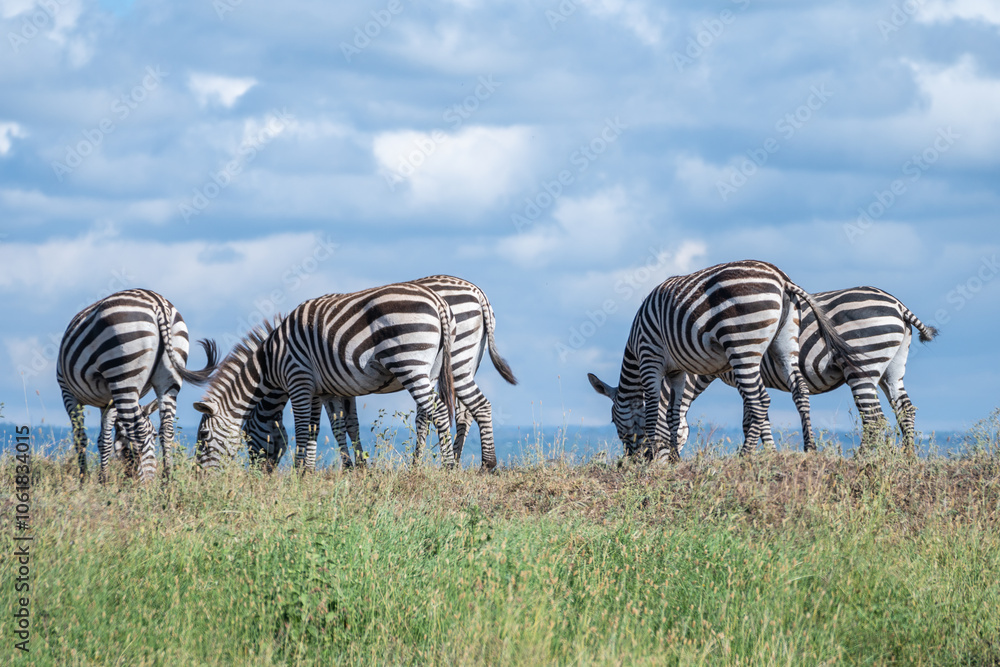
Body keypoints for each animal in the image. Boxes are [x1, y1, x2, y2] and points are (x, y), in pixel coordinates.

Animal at [57, 289, 218, 483]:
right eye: (153, 435)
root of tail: (158, 303)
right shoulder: (109, 401)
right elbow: (104, 440)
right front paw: (103, 480)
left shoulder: (68, 392)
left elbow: (81, 438)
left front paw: (84, 480)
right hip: (169, 377)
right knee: (167, 429)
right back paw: (166, 481)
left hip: (123, 371)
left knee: (138, 430)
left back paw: (146, 484)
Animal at [194, 282, 468, 472]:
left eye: (204, 437)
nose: (200, 478)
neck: (271, 362)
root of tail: (437, 301)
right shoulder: (326, 389)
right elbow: (334, 427)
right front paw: (342, 469)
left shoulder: (299, 380)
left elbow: (303, 428)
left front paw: (299, 472)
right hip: (432, 369)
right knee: (432, 412)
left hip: (408, 362)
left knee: (439, 412)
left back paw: (448, 467)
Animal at [245, 276, 518, 470]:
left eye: (247, 434)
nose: (260, 473)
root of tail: (477, 292)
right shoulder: (340, 382)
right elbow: (348, 423)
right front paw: (356, 466)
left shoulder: (319, 383)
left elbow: (326, 424)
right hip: (462, 365)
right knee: (464, 411)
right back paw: (462, 460)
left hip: (447, 360)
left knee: (450, 411)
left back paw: (459, 463)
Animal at [587, 260, 864, 462]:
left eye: (613, 421)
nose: (632, 461)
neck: (635, 348)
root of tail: (782, 279)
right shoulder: (677, 371)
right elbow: (673, 413)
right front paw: (675, 458)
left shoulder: (650, 358)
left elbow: (655, 408)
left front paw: (657, 455)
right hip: (784, 344)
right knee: (799, 389)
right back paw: (810, 448)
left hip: (743, 346)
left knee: (760, 400)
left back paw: (745, 455)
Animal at [667, 286, 937, 455]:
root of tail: (898, 305)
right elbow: (754, 416)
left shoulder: (742, 373)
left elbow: (752, 418)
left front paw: (763, 453)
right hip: (892, 370)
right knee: (905, 409)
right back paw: (908, 458)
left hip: (862, 366)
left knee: (875, 419)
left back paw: (862, 458)